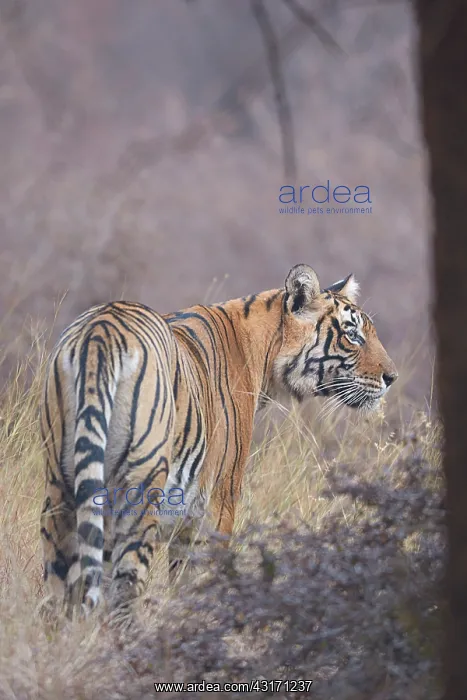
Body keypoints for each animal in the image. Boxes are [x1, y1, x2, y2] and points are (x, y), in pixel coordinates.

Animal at [40, 264, 397, 616]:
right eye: (353, 335)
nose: (391, 378)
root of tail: (101, 330)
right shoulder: (218, 500)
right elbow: (199, 582)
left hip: (61, 485)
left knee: (59, 591)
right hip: (140, 485)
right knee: (123, 586)